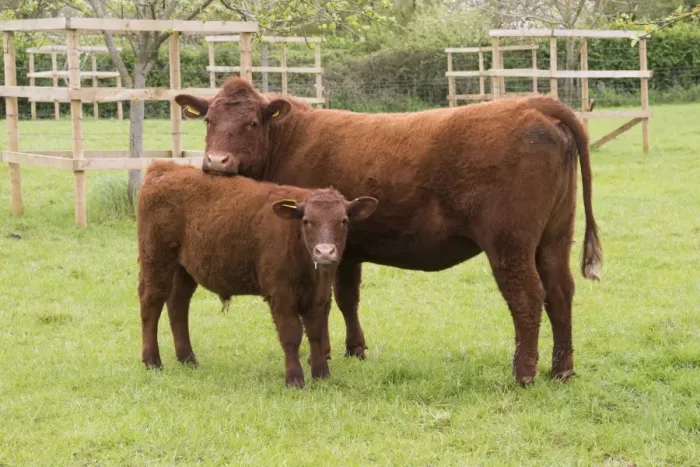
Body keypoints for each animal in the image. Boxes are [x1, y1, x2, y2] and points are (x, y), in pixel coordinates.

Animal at [136, 161, 378, 388]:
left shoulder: (320, 295)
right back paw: (153, 361)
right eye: (307, 221)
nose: (325, 251)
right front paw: (294, 379)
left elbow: (317, 332)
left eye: (343, 221)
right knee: (151, 303)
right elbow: (291, 335)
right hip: (156, 257)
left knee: (178, 305)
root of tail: (166, 168)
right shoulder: (280, 294)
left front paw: (322, 375)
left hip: (185, 268)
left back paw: (187, 358)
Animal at [174, 77, 603, 385]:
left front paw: (328, 354)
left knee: (528, 297)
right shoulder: (347, 247)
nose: (215, 161)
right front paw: (354, 349)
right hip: (554, 236)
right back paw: (562, 370)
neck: (290, 140)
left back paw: (524, 374)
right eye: (209, 121)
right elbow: (347, 299)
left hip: (509, 242)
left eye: (250, 122)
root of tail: (532, 103)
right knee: (560, 292)